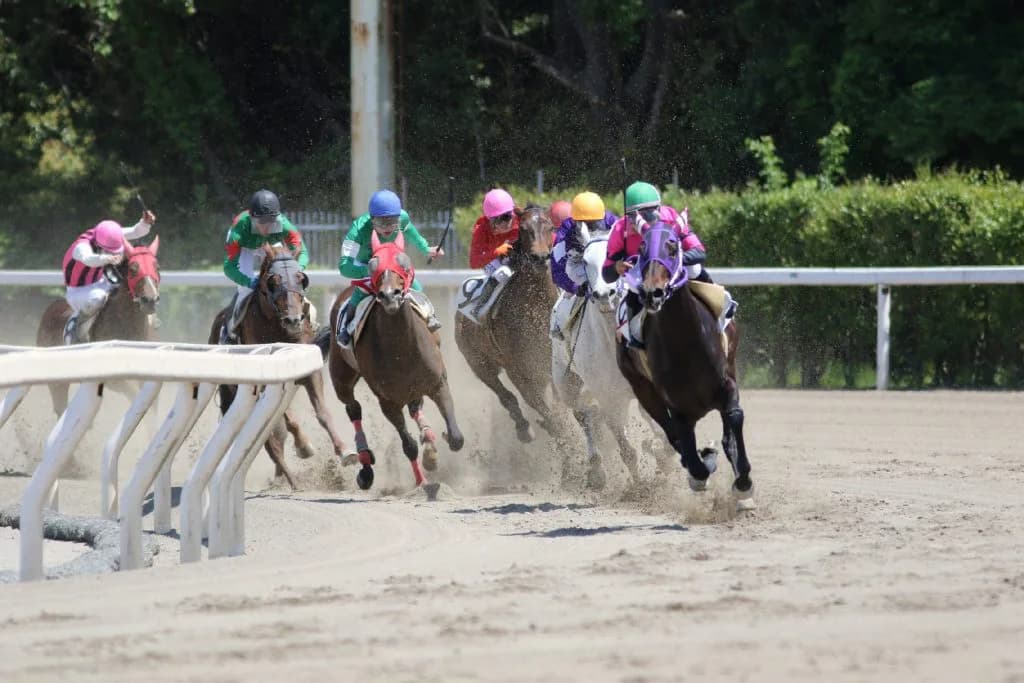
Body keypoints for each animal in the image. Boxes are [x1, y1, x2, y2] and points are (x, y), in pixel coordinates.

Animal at [37, 236, 162, 414]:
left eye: (156, 267)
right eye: (133, 269)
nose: (150, 300)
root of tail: (50, 309)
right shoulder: (112, 379)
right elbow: (134, 394)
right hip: (56, 382)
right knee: (60, 406)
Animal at [208, 244, 348, 489]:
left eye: (301, 278)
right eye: (272, 281)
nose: (293, 320)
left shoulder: (310, 370)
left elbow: (322, 412)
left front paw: (345, 451)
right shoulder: (268, 382)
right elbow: (287, 420)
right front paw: (304, 446)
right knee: (269, 443)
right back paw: (292, 480)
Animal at [326, 231, 464, 490]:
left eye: (404, 262)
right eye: (373, 264)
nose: (390, 296)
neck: (401, 348)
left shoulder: (437, 383)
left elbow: (456, 437)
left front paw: (433, 451)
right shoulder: (387, 401)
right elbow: (408, 445)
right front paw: (422, 481)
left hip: (413, 387)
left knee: (414, 408)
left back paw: (428, 438)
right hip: (341, 378)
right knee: (353, 408)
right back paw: (365, 464)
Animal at [454, 205, 571, 442]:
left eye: (550, 227)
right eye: (524, 229)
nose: (540, 257)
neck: (536, 308)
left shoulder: (550, 361)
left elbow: (556, 404)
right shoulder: (518, 368)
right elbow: (544, 410)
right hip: (479, 364)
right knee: (505, 396)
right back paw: (523, 428)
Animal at [615, 223, 754, 509]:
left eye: (672, 246)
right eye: (642, 248)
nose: (652, 293)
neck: (685, 343)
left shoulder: (726, 383)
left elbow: (734, 417)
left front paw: (743, 482)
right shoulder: (676, 406)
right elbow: (688, 449)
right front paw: (703, 465)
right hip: (642, 389)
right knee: (672, 435)